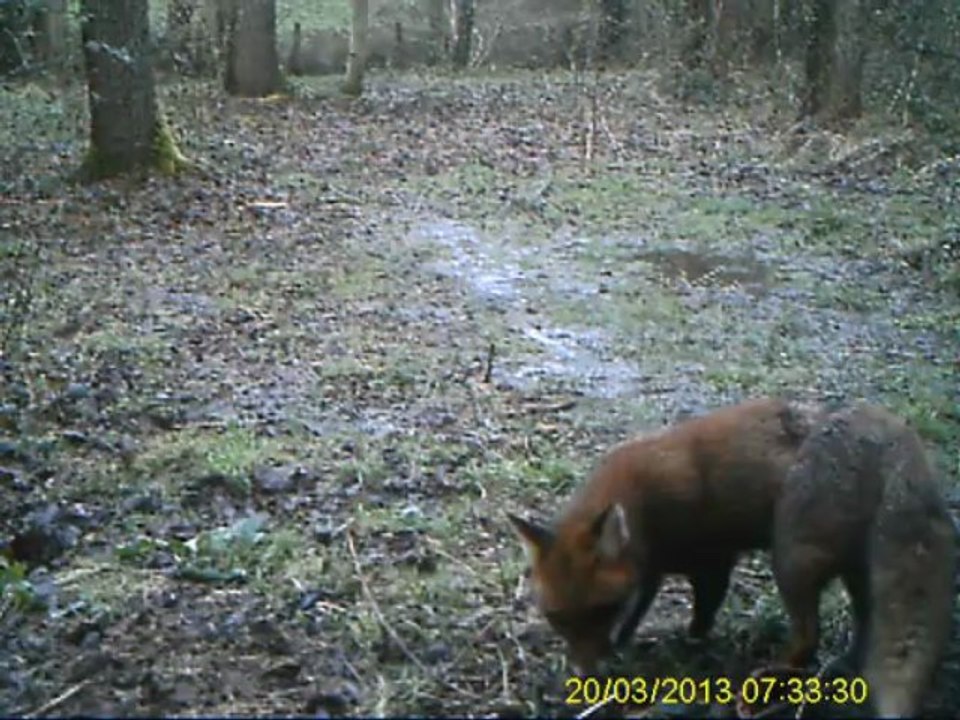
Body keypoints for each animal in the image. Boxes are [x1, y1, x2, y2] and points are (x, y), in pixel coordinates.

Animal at [508, 397, 823, 673]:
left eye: (602, 609)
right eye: (558, 619)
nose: (586, 673)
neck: (646, 509)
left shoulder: (713, 564)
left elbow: (702, 616)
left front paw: (690, 646)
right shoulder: (648, 573)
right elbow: (633, 616)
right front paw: (622, 646)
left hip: (791, 565)